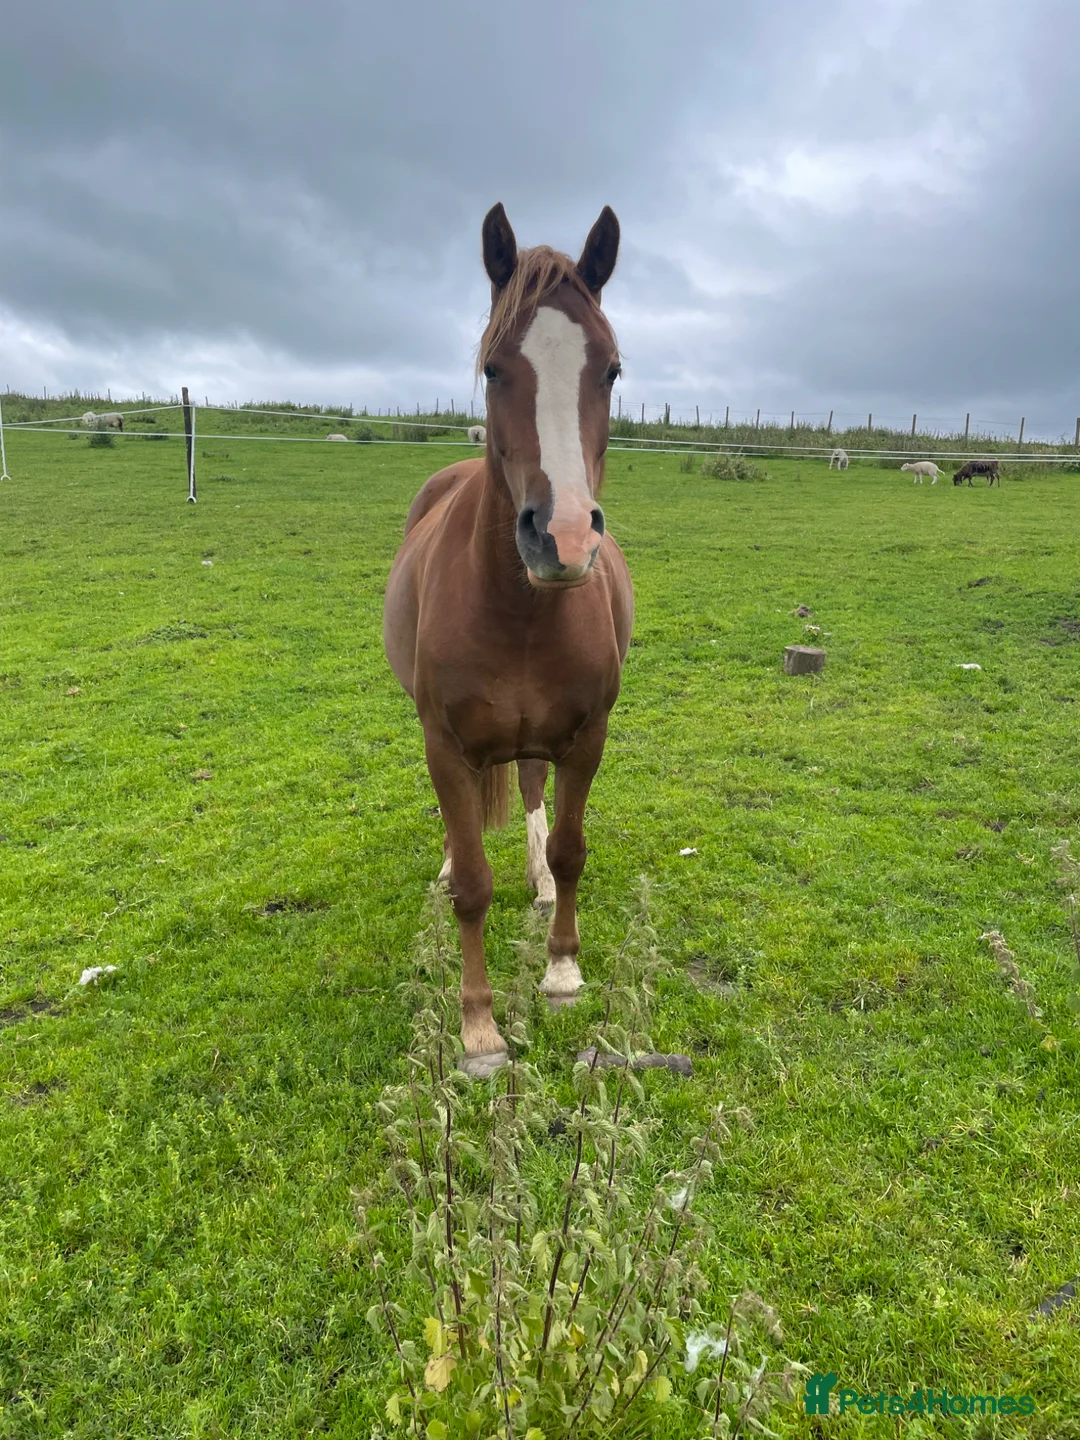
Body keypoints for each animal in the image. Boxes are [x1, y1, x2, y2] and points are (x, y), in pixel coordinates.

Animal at [384, 203, 632, 1077]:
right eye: (494, 369)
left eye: (611, 370)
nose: (562, 537)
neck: (520, 610)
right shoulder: (446, 746)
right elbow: (474, 887)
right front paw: (480, 1028)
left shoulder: (587, 737)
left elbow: (570, 847)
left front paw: (561, 971)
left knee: (529, 790)